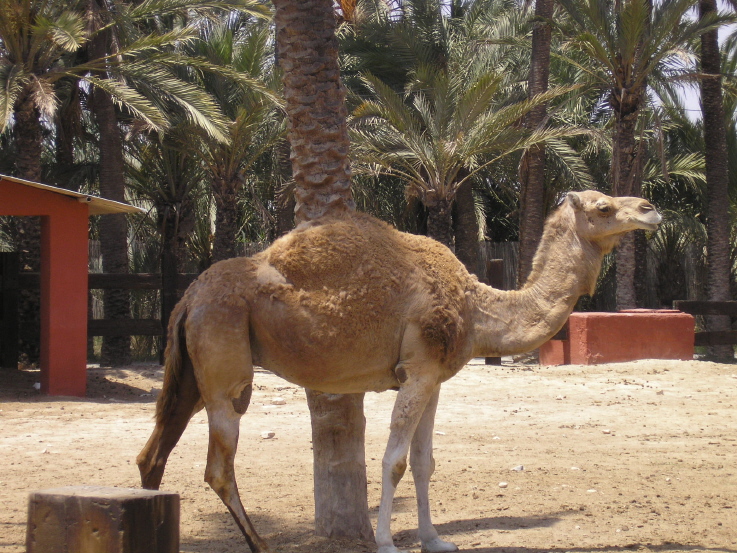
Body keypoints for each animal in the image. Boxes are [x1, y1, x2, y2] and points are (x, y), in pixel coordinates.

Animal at [137, 190, 661, 553]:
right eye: (604, 207)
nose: (651, 208)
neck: (477, 308)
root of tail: (188, 297)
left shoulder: (434, 380)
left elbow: (426, 461)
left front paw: (435, 540)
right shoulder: (419, 370)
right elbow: (394, 461)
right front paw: (387, 541)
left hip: (191, 373)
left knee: (152, 456)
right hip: (226, 362)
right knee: (217, 466)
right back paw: (262, 545)